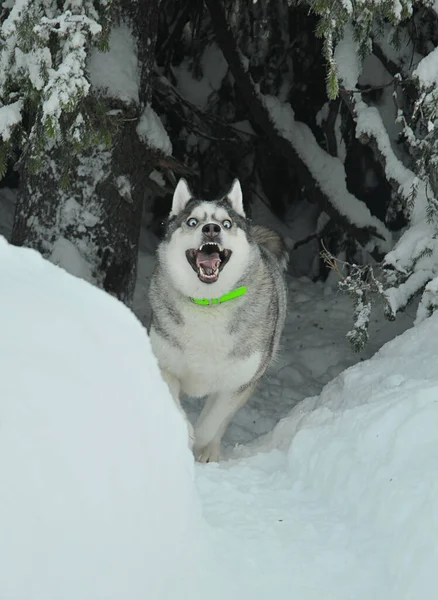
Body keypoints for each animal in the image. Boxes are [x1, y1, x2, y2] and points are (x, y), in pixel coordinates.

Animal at [149, 180, 290, 462]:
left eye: (226, 223)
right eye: (192, 222)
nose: (211, 229)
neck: (208, 305)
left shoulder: (238, 382)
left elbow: (211, 422)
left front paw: (200, 443)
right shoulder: (165, 364)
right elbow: (173, 401)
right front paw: (184, 430)